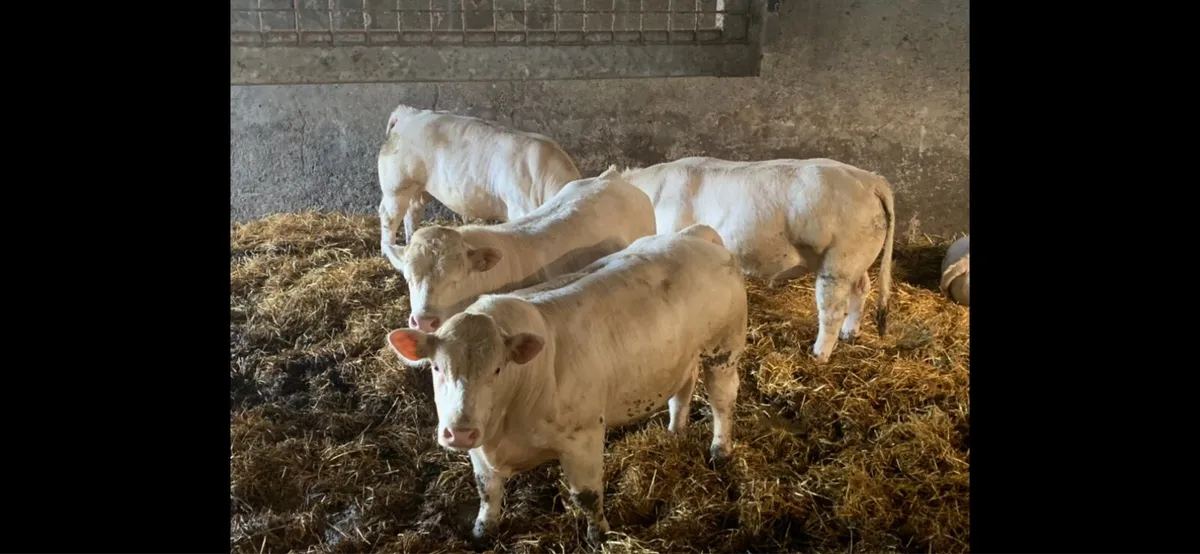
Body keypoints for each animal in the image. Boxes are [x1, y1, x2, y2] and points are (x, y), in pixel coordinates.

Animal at [377, 104, 582, 253]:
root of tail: (409, 114)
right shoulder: (519, 210)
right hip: (396, 185)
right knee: (389, 216)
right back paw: (388, 252)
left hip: (418, 188)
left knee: (412, 213)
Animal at [384, 223, 747, 544]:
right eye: (436, 367)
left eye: (498, 369)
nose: (459, 433)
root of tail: (695, 234)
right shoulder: (480, 443)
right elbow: (487, 490)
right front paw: (482, 531)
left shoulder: (582, 436)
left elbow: (586, 496)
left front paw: (599, 536)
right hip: (682, 356)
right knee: (683, 389)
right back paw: (675, 431)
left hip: (724, 348)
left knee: (721, 400)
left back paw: (720, 451)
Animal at [621, 156, 896, 363]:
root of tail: (870, 179)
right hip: (857, 259)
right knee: (862, 288)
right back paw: (851, 333)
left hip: (838, 263)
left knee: (832, 310)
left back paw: (819, 354)